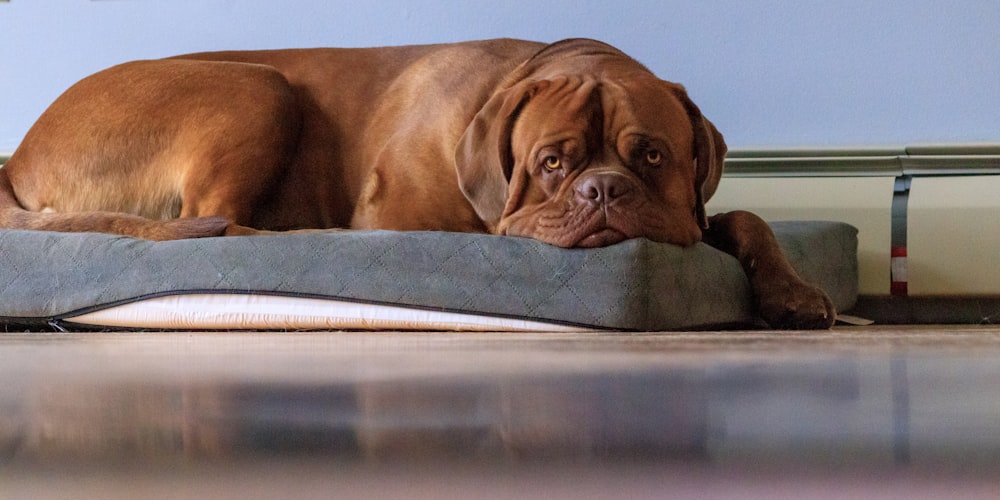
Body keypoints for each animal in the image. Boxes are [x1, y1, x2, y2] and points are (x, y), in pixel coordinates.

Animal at [0, 38, 836, 328]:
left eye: (653, 156)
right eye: (553, 163)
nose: (602, 191)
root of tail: (16, 159)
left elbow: (746, 220)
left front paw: (793, 293)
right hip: (257, 86)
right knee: (215, 223)